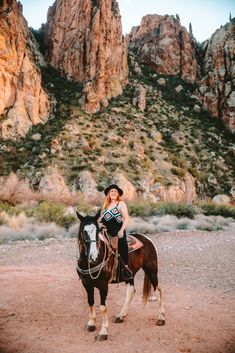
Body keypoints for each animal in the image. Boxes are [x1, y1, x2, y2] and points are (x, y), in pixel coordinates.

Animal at [76, 210, 164, 340]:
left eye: (97, 231)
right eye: (84, 231)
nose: (93, 256)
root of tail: (148, 239)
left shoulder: (103, 285)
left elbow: (103, 307)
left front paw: (103, 332)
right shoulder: (86, 284)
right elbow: (90, 302)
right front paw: (91, 324)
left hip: (151, 270)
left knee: (158, 290)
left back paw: (161, 318)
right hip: (130, 275)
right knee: (131, 291)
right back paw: (121, 316)